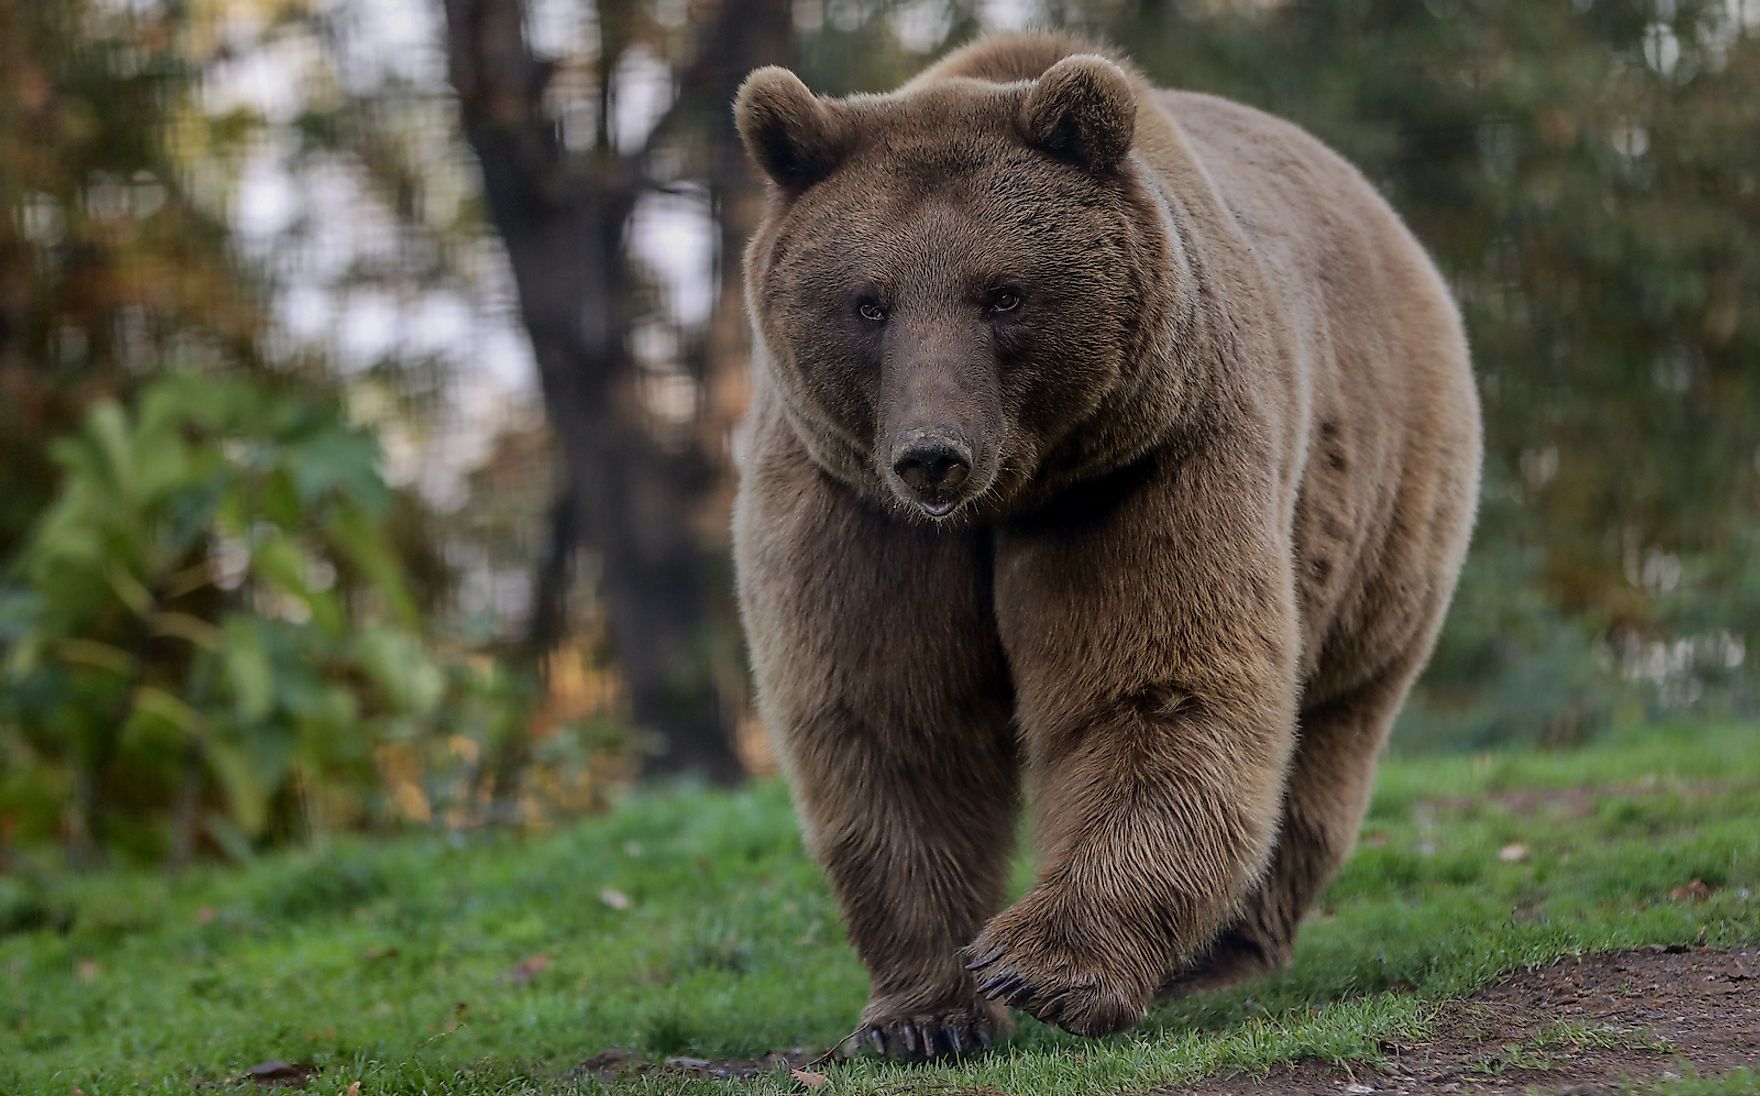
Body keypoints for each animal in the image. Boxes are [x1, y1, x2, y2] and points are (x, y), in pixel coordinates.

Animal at [728, 32, 1485, 1062]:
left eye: (1003, 294)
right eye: (868, 303)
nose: (934, 454)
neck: (1008, 495)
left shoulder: (1144, 462)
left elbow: (1151, 682)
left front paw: (1039, 966)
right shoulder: (853, 503)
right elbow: (894, 719)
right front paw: (923, 1015)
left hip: (1382, 513)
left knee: (1326, 733)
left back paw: (1224, 954)